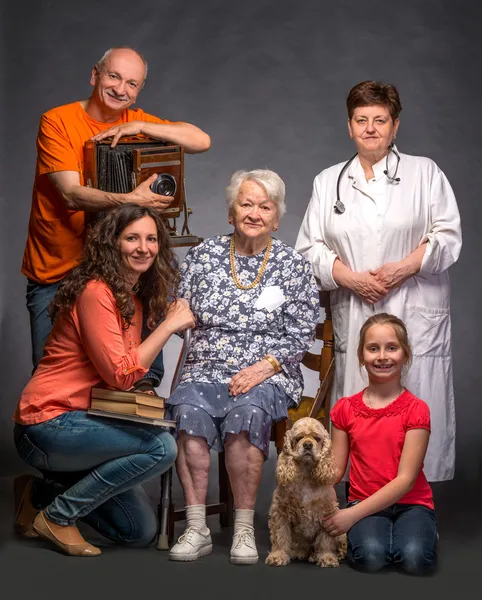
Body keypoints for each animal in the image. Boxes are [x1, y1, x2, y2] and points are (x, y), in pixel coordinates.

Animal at [268, 418, 346, 568]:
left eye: (317, 438)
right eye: (298, 438)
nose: (308, 444)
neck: (305, 475)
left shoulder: (327, 512)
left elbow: (325, 540)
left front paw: (327, 557)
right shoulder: (280, 510)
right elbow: (280, 535)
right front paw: (278, 555)